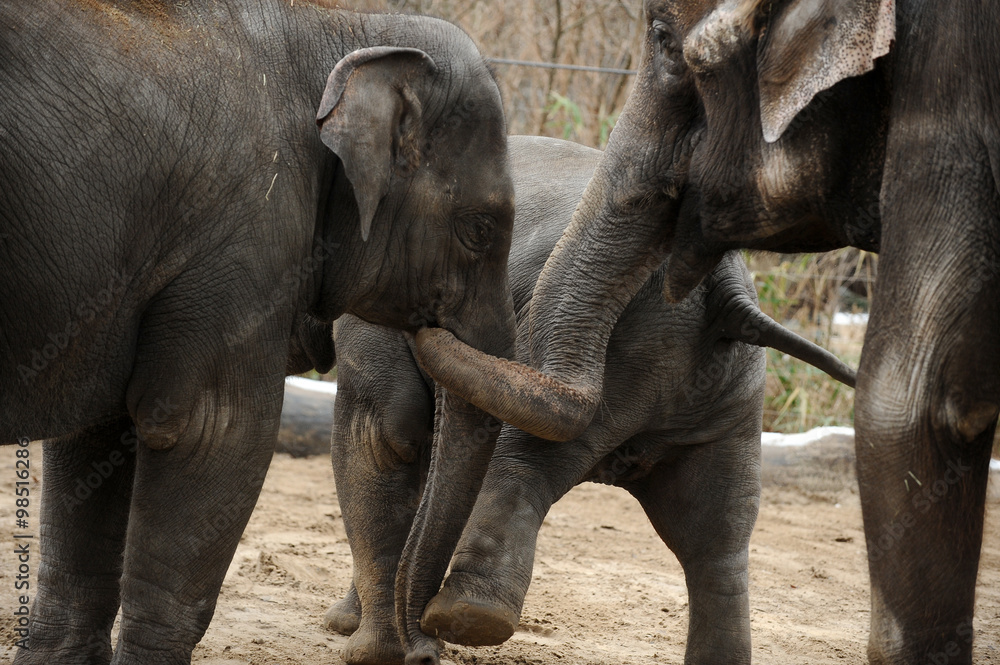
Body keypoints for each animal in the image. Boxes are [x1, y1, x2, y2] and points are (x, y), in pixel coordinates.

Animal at [0, 2, 516, 663]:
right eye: (480, 228)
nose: (426, 647)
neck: (343, 25)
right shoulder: (244, 238)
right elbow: (213, 429)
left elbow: (93, 442)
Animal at [414, 2, 1000, 664]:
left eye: (667, 42)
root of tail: (728, 290)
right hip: (725, 391)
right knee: (717, 536)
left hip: (647, 360)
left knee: (540, 457)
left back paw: (465, 617)